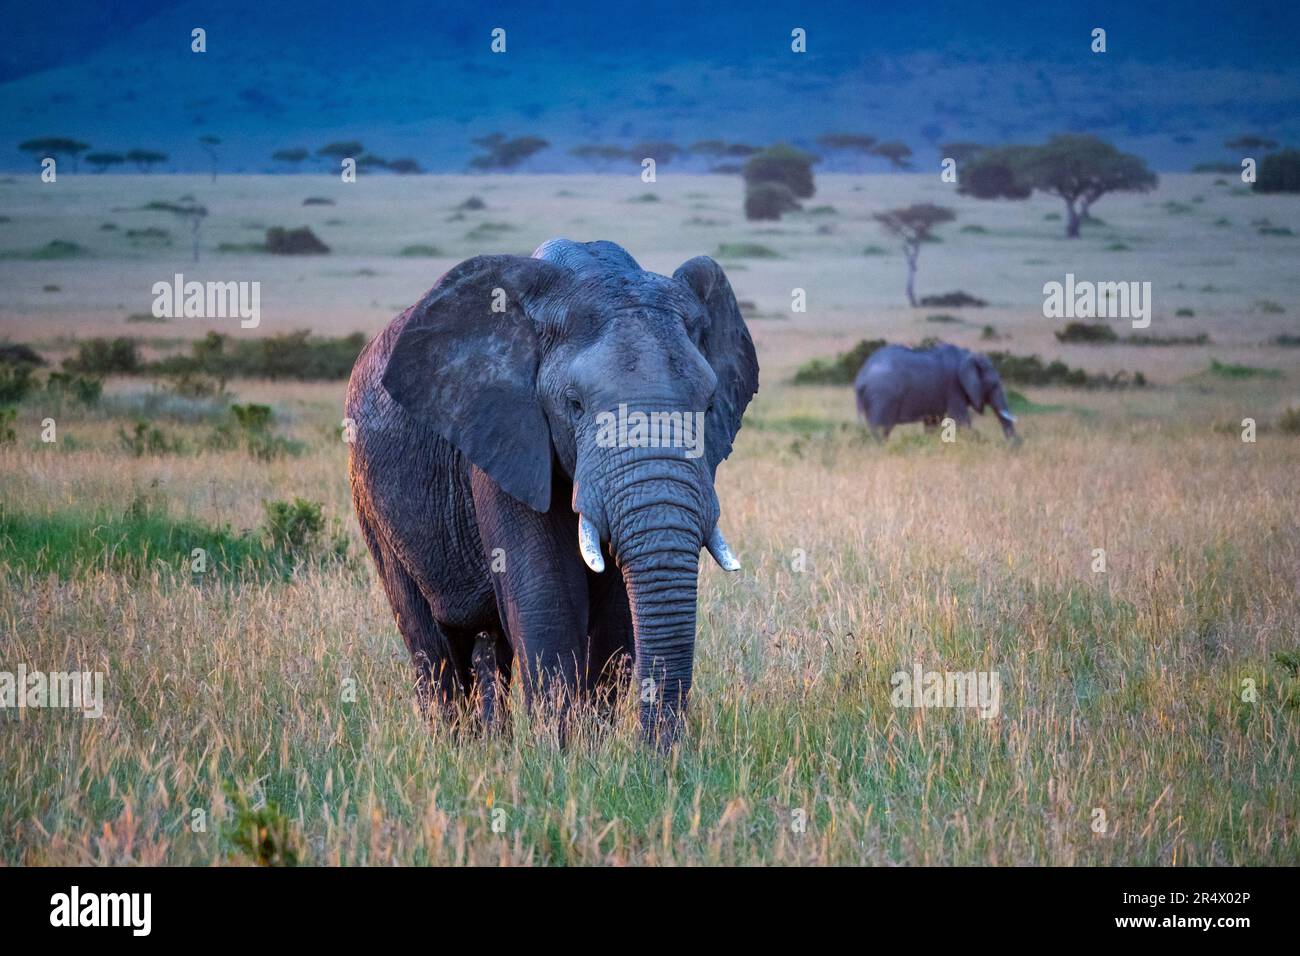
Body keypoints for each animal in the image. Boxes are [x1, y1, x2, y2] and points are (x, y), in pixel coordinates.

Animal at [345, 239, 759, 749]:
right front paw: (562, 753)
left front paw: (593, 747)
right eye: (574, 405)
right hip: (369, 495)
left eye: (708, 404)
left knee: (488, 646)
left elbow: (615, 612)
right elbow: (547, 592)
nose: (660, 754)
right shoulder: (505, 434)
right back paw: (455, 748)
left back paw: (491, 747)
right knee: (430, 641)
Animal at [857, 343, 1019, 442]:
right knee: (881, 429)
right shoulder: (954, 387)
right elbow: (961, 419)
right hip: (882, 397)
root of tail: (861, 378)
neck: (967, 356)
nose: (1016, 446)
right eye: (994, 385)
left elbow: (932, 423)